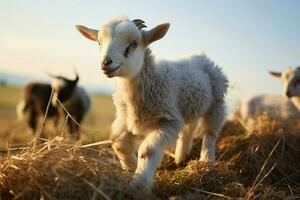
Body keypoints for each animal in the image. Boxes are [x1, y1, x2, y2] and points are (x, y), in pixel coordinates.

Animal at [76, 16, 229, 189]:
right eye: (99, 42)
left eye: (134, 43)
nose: (106, 62)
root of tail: (201, 56)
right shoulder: (125, 118)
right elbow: (118, 143)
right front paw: (131, 166)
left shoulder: (168, 122)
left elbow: (147, 150)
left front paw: (140, 183)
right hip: (189, 105)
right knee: (189, 127)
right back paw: (180, 157)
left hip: (216, 102)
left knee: (210, 132)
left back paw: (206, 162)